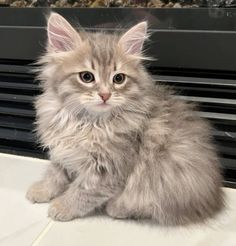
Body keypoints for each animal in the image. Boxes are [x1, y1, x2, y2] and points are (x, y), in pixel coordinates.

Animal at [26, 12, 224, 226]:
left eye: (118, 79)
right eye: (86, 77)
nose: (105, 95)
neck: (87, 122)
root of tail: (214, 200)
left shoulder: (107, 169)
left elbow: (83, 192)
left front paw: (62, 207)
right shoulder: (62, 152)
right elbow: (55, 174)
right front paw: (42, 190)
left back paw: (117, 208)